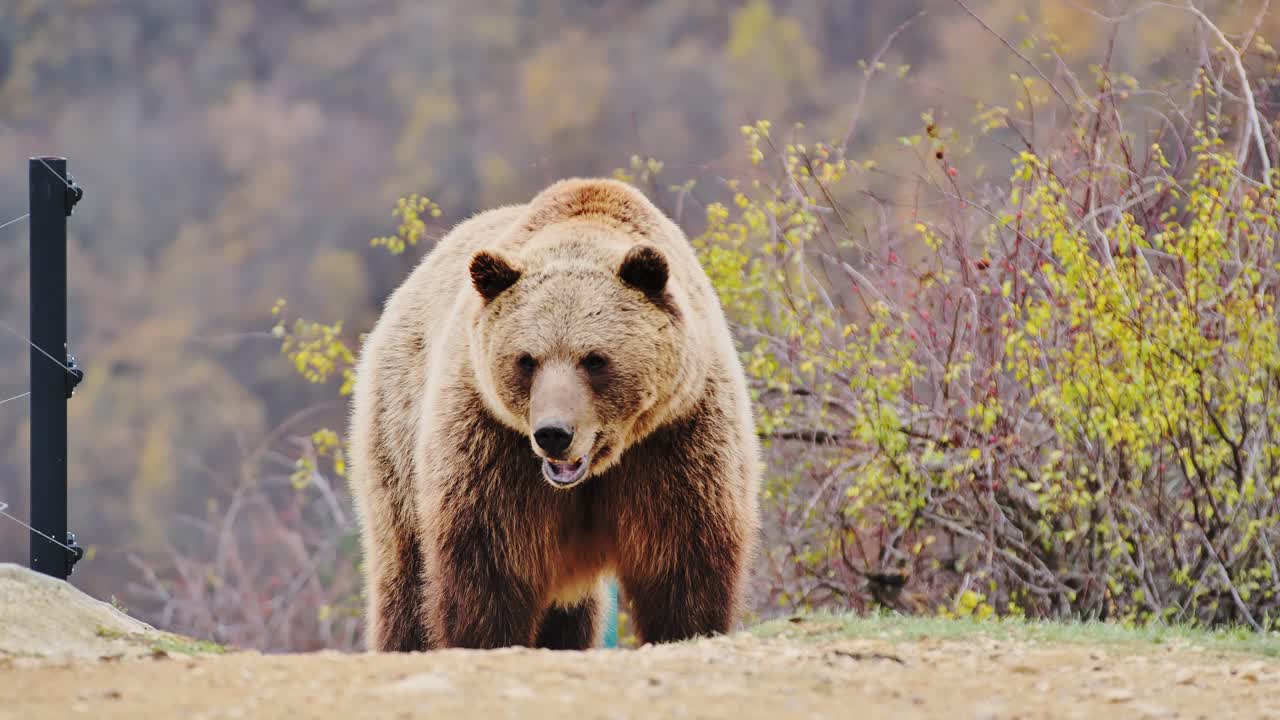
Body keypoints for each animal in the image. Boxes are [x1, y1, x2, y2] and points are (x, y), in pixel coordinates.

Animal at [347, 177, 761, 650]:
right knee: (403, 572)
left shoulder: (677, 439)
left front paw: (684, 629)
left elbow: (683, 562)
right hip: (396, 436)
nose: (553, 433)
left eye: (595, 359)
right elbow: (488, 566)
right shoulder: (490, 446)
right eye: (527, 359)